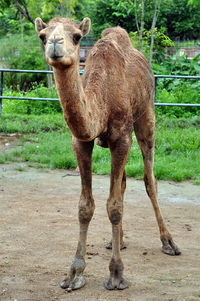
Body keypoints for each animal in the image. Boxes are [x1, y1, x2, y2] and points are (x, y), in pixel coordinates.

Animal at [34, 17, 181, 290]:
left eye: (77, 36)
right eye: (42, 35)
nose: (55, 44)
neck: (101, 100)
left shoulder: (122, 138)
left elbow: (114, 206)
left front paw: (116, 274)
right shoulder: (81, 141)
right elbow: (86, 206)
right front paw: (74, 273)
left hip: (146, 116)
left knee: (150, 179)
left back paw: (169, 242)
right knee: (122, 183)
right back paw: (117, 241)